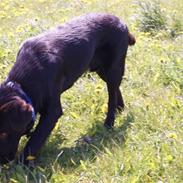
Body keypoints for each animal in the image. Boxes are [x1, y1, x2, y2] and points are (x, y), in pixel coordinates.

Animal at [0, 13, 136, 164]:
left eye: (3, 133)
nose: (2, 161)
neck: (21, 84)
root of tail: (121, 21)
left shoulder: (52, 111)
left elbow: (35, 139)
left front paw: (22, 163)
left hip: (113, 67)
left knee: (112, 95)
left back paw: (109, 123)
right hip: (101, 69)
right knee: (116, 88)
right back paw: (120, 108)